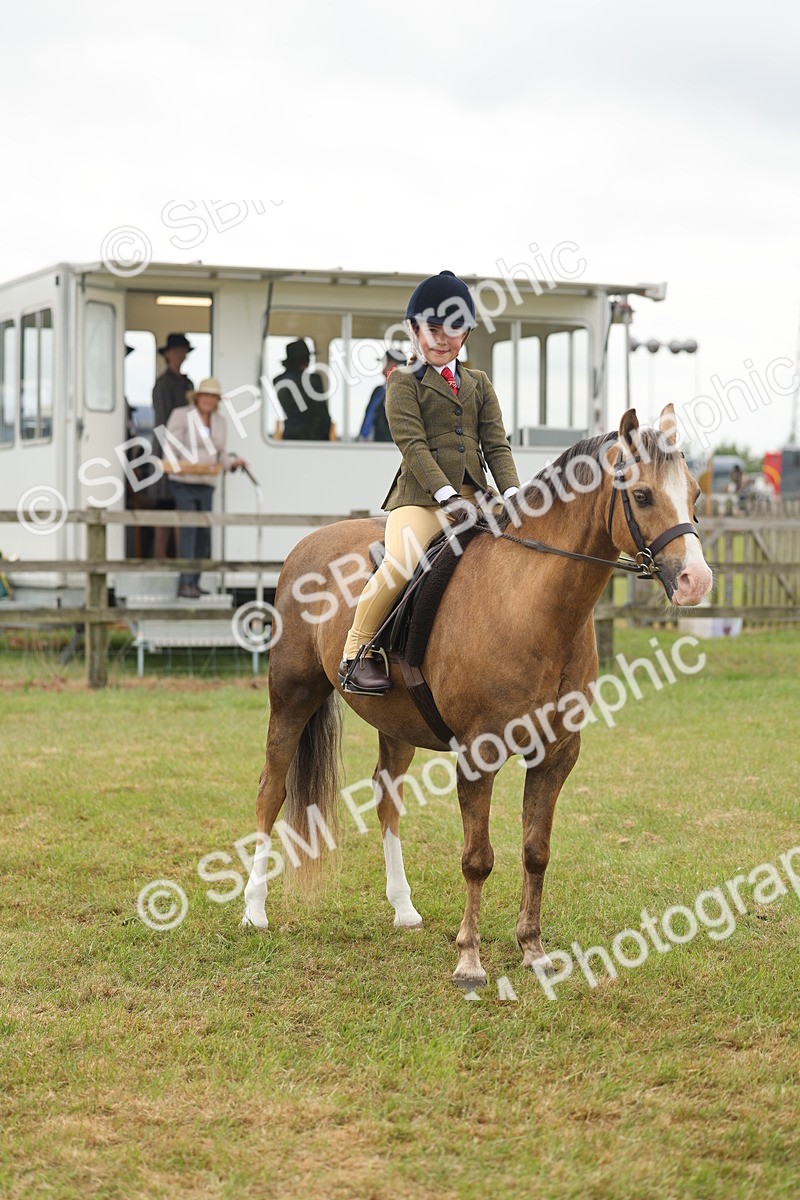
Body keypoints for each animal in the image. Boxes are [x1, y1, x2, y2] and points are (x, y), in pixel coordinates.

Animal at [242, 405, 713, 987]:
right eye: (643, 495)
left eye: (695, 494)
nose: (696, 580)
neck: (532, 602)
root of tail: (306, 544)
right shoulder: (478, 754)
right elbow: (477, 858)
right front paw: (469, 959)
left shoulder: (557, 754)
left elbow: (536, 851)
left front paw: (533, 950)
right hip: (291, 696)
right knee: (271, 791)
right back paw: (254, 910)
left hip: (395, 723)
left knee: (386, 797)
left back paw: (403, 908)